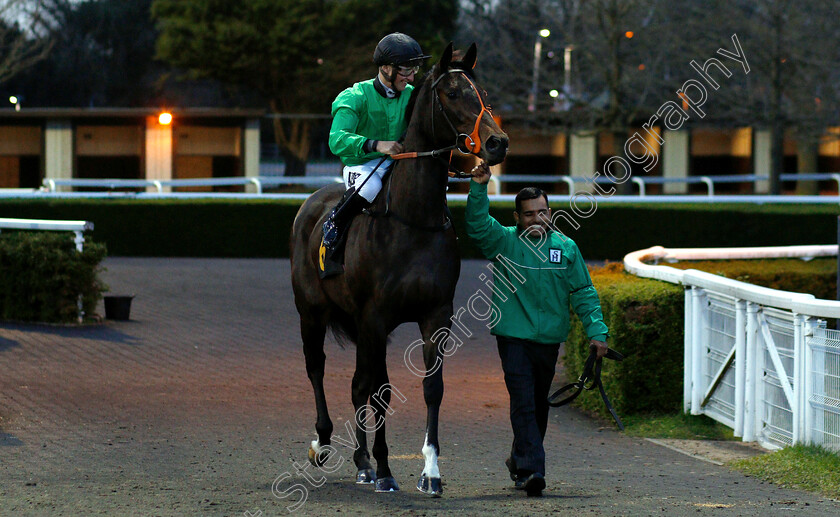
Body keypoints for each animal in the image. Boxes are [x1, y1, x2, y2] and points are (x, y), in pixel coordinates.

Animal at [288, 43, 508, 496]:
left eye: (483, 93)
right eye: (454, 93)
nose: (498, 143)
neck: (413, 222)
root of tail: (312, 203)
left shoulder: (434, 315)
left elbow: (427, 388)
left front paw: (429, 472)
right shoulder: (374, 315)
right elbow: (375, 390)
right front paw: (380, 467)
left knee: (362, 384)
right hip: (312, 311)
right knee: (318, 367)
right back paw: (325, 444)